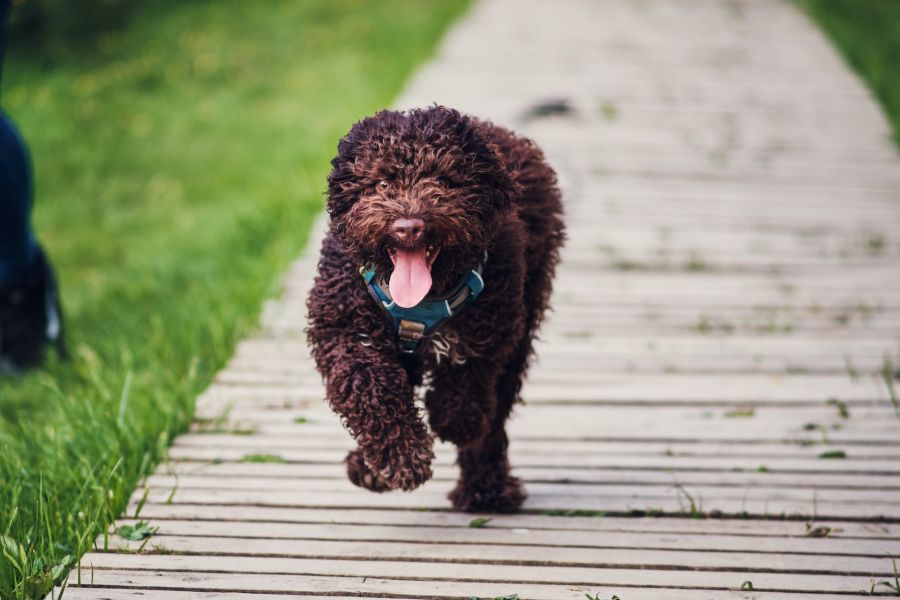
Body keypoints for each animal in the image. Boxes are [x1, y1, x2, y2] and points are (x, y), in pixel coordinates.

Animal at [310, 104, 564, 510]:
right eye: (382, 183)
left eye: (444, 181)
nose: (408, 227)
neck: (420, 302)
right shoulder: (345, 332)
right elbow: (370, 387)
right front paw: (401, 460)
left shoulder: (491, 326)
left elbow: (466, 379)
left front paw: (452, 420)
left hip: (524, 326)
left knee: (494, 417)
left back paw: (486, 489)